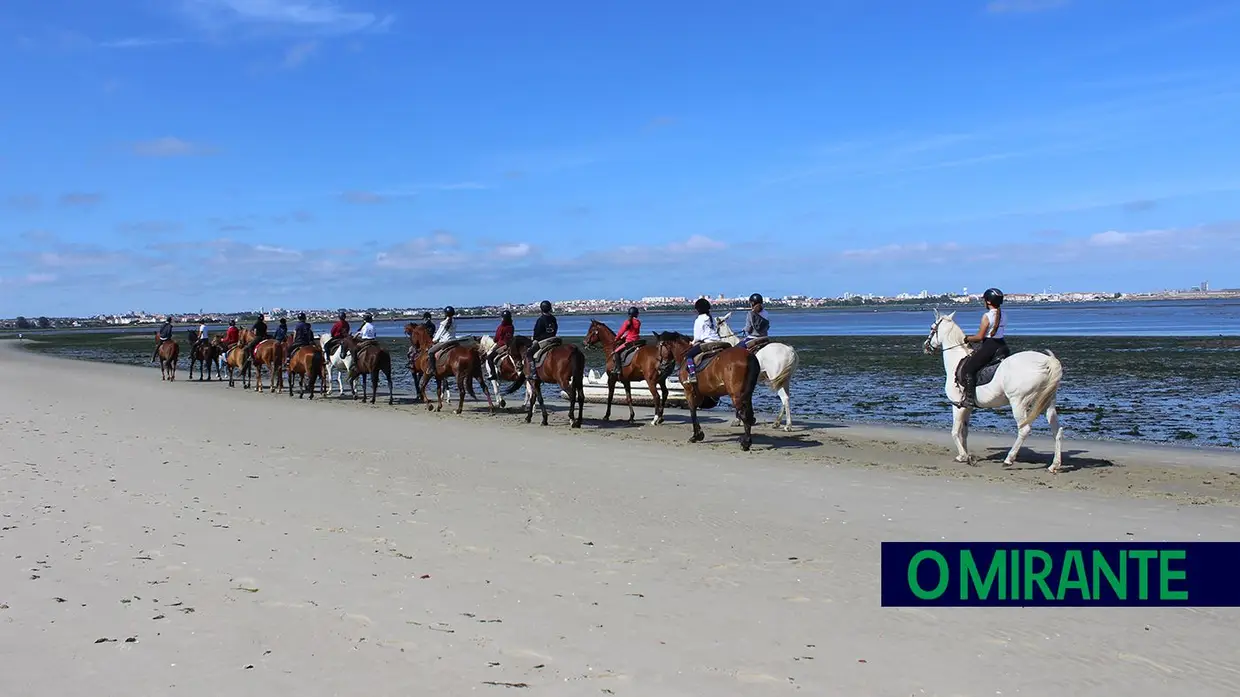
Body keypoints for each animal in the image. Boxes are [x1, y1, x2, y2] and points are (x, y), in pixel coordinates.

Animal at [922, 310, 1066, 468]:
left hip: (1019, 402)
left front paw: (963, 456)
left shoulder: (957, 405)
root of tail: (1047, 361)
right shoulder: (968, 407)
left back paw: (1009, 459)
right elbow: (964, 431)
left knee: (1024, 429)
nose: (926, 347)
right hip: (1047, 402)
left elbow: (954, 432)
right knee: (1057, 430)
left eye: (932, 328)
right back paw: (1055, 465)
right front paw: (966, 455)